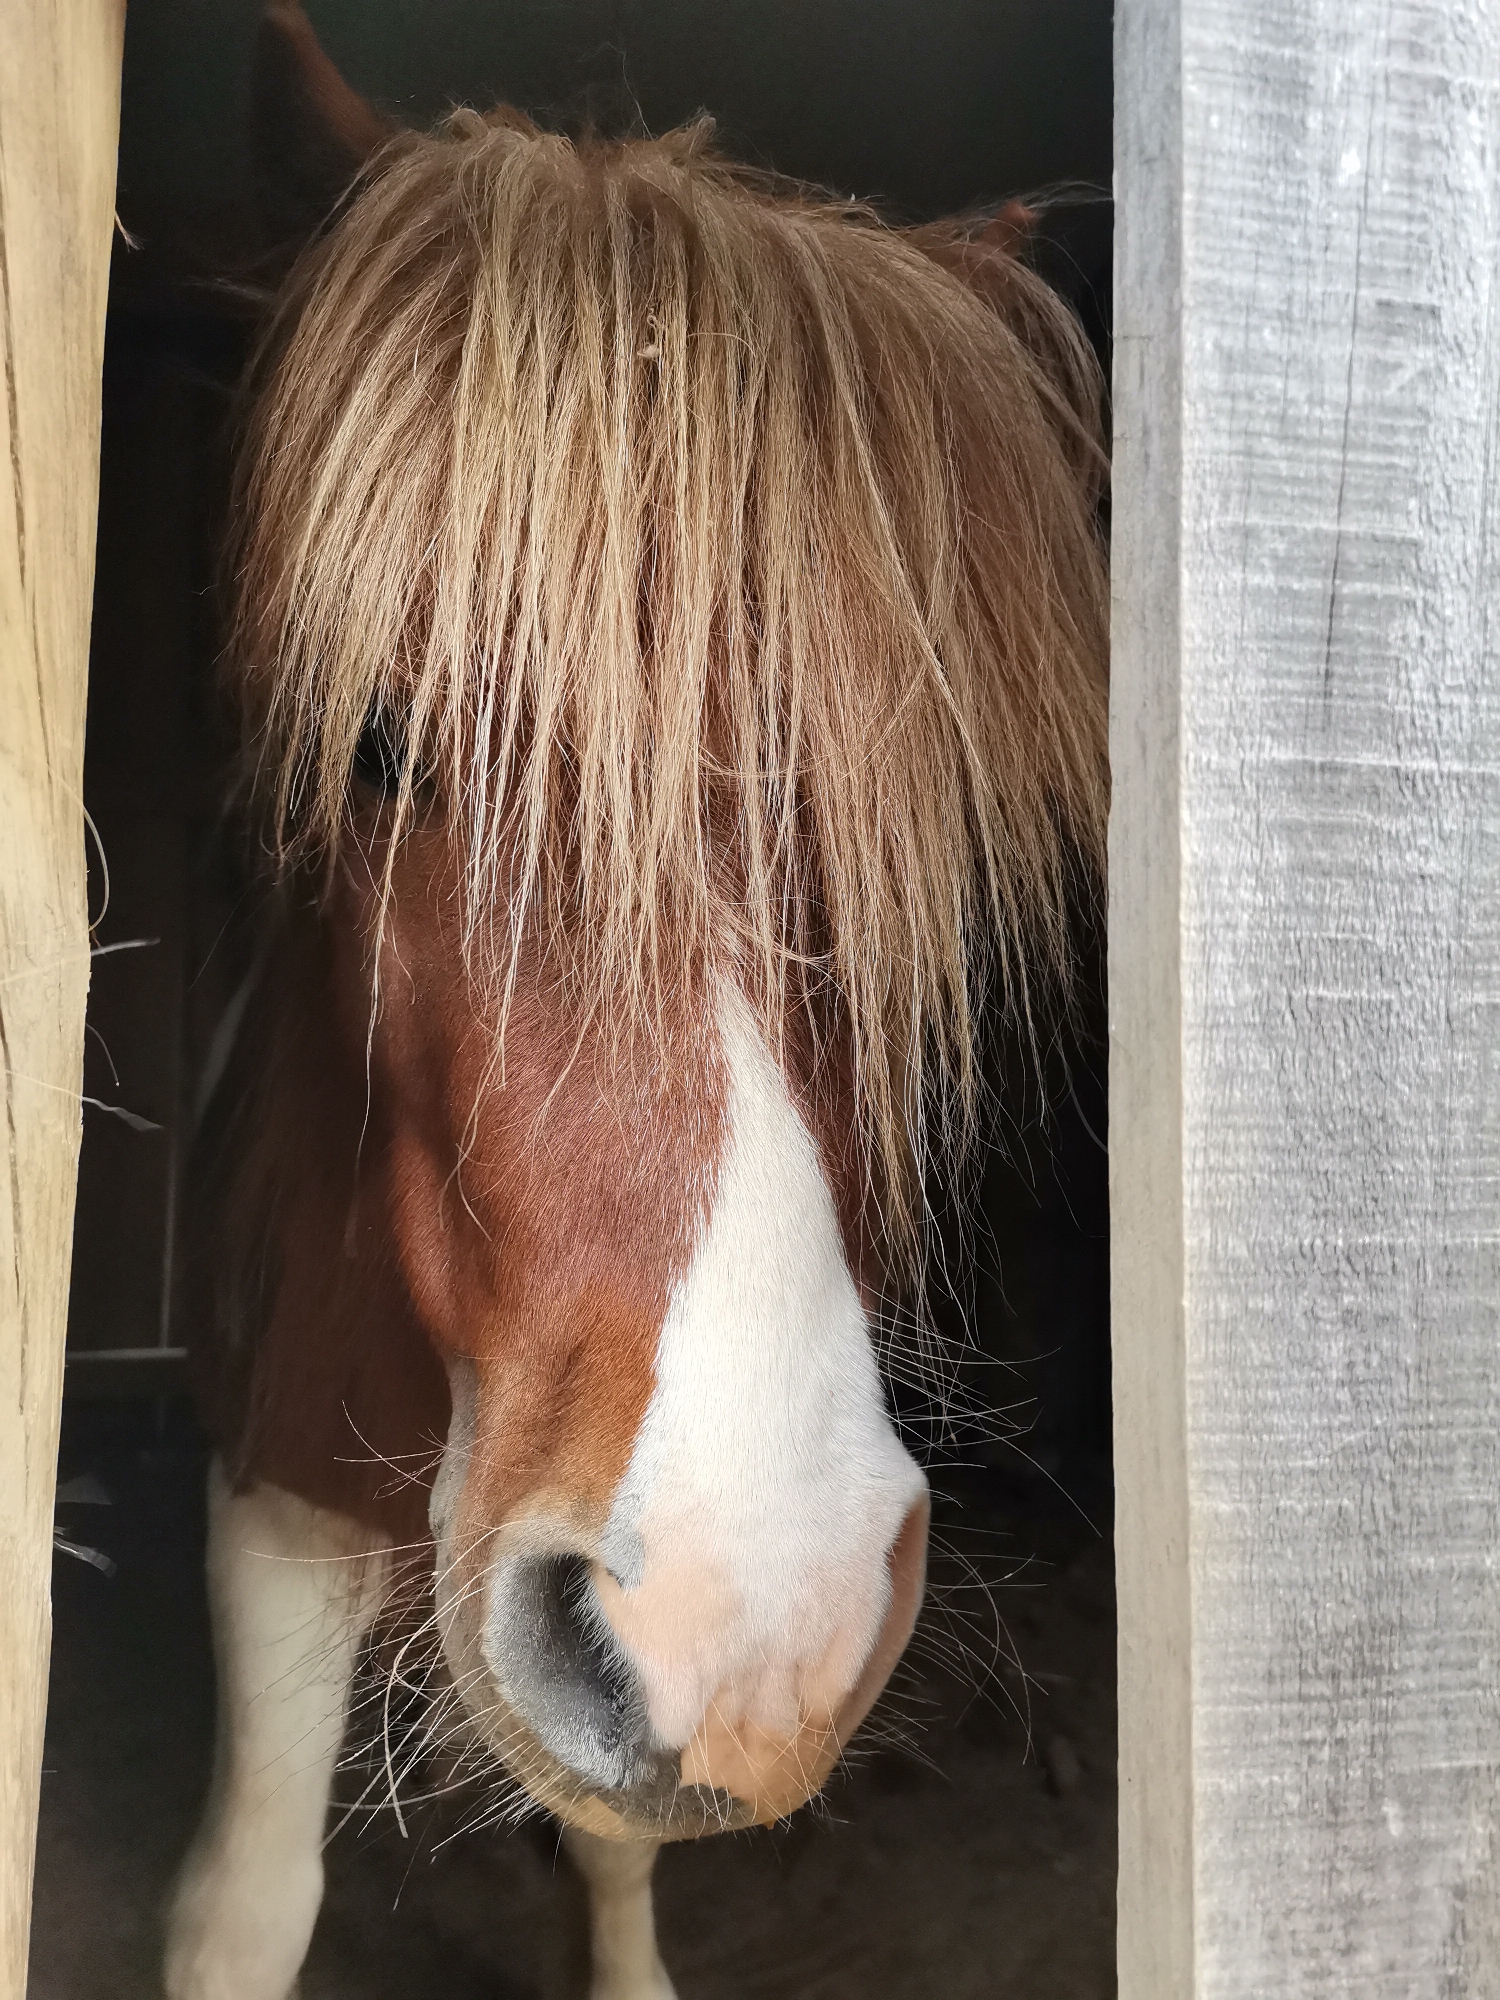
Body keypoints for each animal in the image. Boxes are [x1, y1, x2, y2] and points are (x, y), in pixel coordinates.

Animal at [162, 15, 1108, 1997]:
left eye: (896, 803)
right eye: (378, 745)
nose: (749, 1620)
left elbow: (609, 1839)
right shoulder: (270, 1491)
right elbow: (244, 1906)